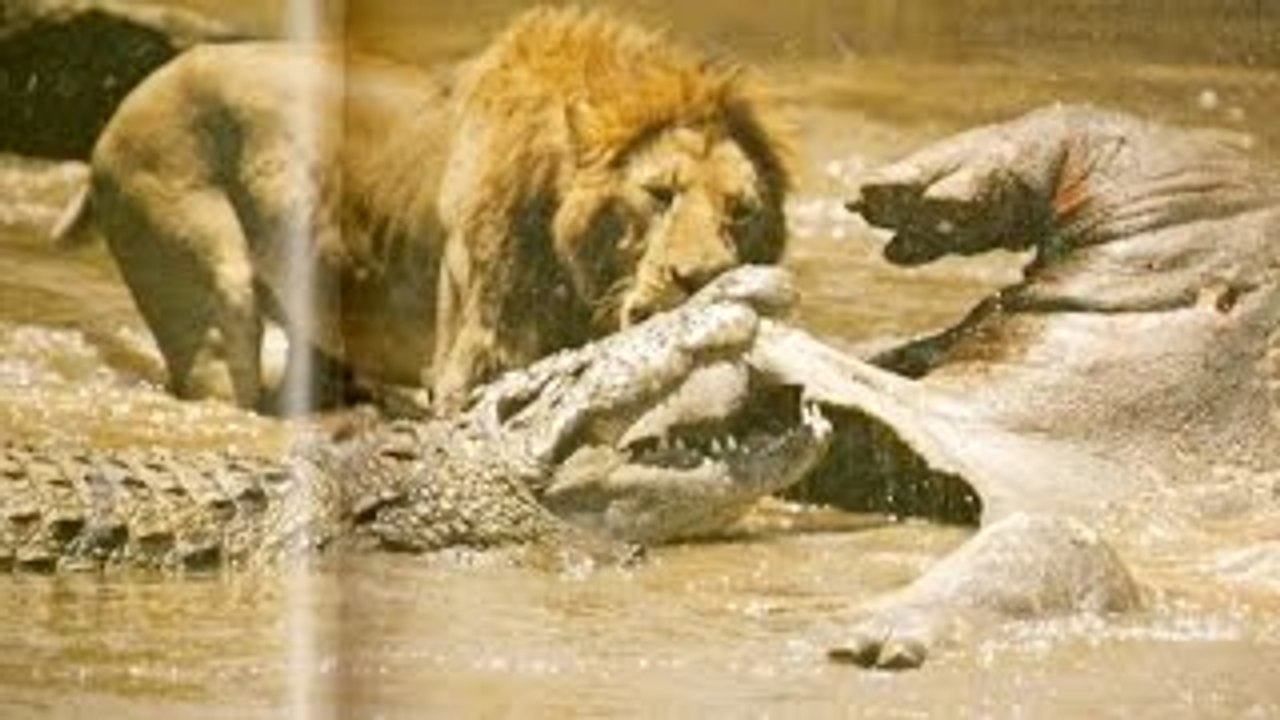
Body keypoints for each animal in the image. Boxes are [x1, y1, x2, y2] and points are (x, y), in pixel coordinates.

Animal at [55, 7, 793, 412]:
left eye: (742, 211)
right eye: (658, 194)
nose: (703, 278)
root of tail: (133, 97)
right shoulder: (476, 360)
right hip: (209, 299)